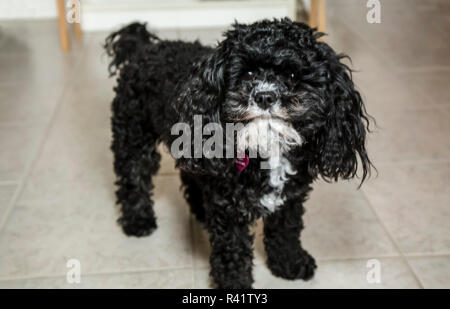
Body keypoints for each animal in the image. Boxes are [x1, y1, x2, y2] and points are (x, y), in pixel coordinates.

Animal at [104, 18, 372, 288]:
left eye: (293, 75)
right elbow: (233, 251)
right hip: (133, 135)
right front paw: (234, 285)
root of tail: (143, 48)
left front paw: (290, 264)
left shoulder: (290, 198)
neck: (267, 150)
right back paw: (138, 221)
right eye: (248, 73)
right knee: (133, 177)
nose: (265, 96)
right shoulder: (228, 209)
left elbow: (286, 231)